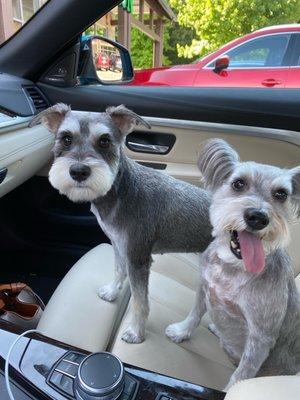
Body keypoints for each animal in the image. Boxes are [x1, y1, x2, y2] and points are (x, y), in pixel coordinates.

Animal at [29, 104, 211, 344]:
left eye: (105, 141)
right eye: (66, 138)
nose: (79, 171)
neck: (120, 189)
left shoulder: (138, 258)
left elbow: (140, 301)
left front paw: (136, 332)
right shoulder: (119, 245)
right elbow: (118, 270)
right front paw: (112, 292)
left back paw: (182, 331)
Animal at [166, 138, 300, 390]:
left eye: (281, 194)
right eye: (238, 183)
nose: (258, 217)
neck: (233, 268)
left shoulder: (260, 337)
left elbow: (241, 375)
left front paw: (231, 390)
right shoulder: (204, 287)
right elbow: (195, 314)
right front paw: (181, 331)